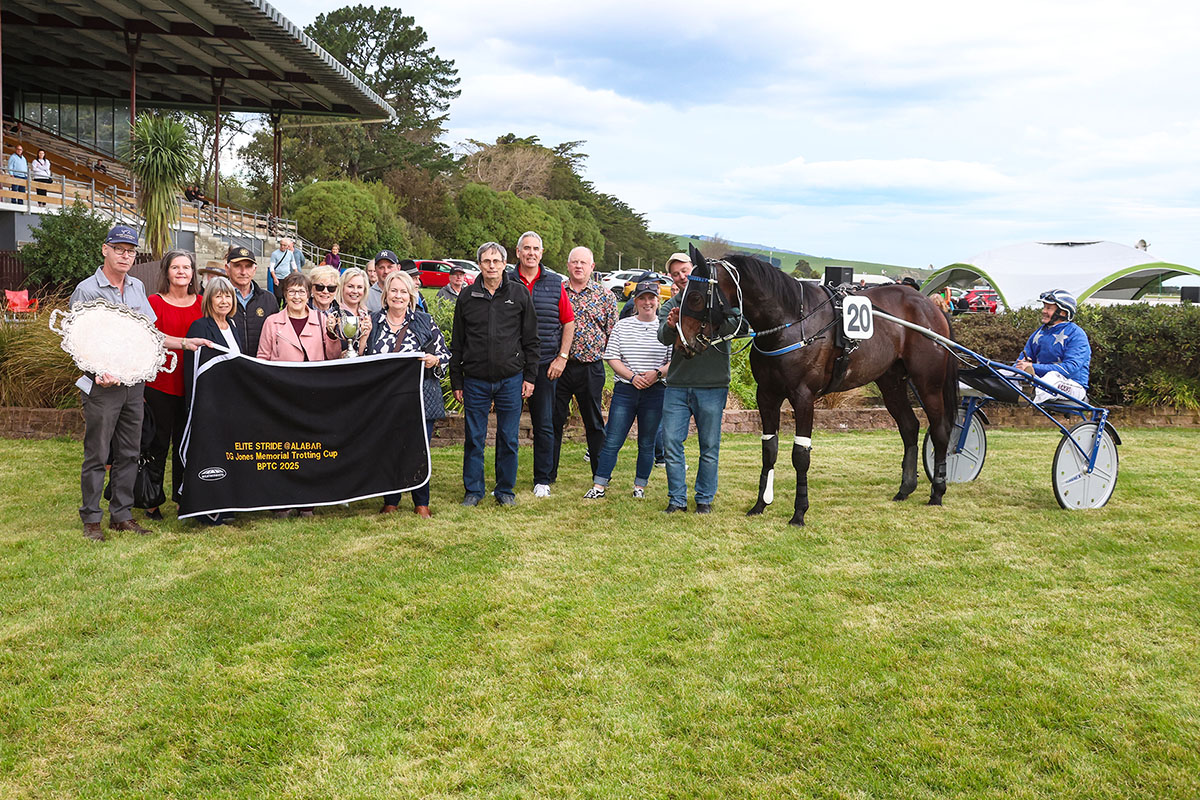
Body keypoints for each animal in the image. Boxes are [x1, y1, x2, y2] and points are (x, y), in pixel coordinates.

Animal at [672, 248, 958, 526]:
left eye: (695, 296)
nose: (682, 342)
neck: (792, 322)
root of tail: (929, 305)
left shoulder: (803, 397)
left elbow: (800, 454)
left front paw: (799, 512)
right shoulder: (767, 395)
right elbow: (769, 450)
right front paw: (761, 504)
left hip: (928, 384)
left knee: (940, 430)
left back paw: (937, 492)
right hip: (891, 383)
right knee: (909, 427)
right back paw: (905, 488)